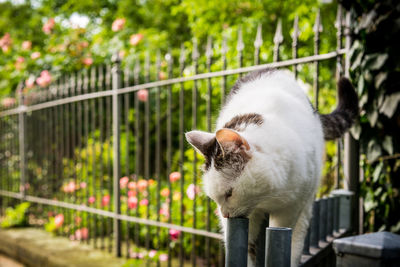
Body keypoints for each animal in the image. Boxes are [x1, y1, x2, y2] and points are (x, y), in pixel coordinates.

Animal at [184, 69, 356, 267]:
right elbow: (247, 248)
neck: (267, 196)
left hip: (307, 201)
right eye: (214, 198)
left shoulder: (292, 206)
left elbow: (284, 237)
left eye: (229, 194)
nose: (225, 215)